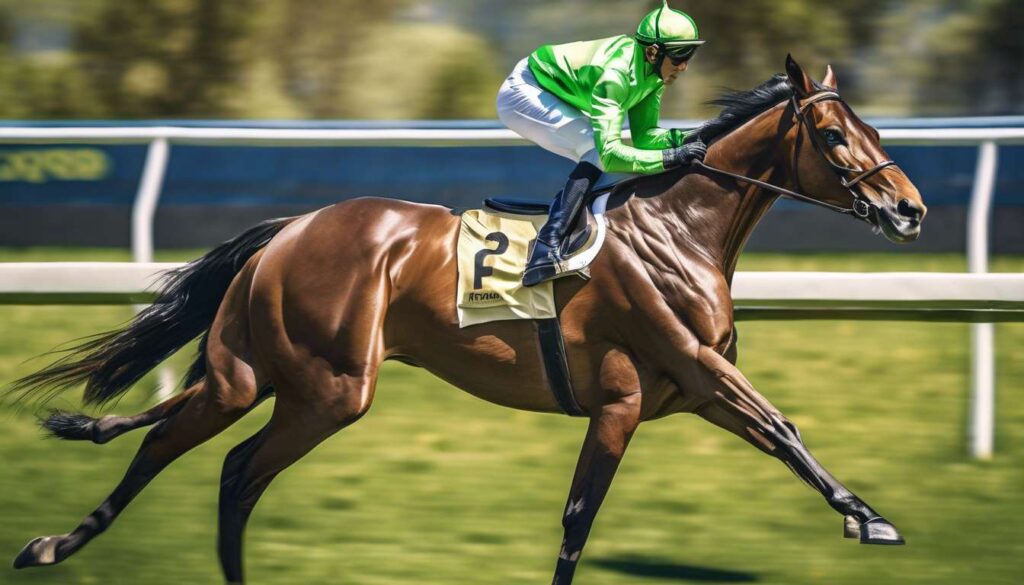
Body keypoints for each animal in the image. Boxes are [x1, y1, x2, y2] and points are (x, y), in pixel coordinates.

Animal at [9, 55, 926, 584]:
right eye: (834, 136)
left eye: (873, 125)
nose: (910, 210)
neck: (680, 228)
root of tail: (290, 229)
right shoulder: (644, 391)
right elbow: (588, 515)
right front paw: (870, 514)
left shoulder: (690, 386)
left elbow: (774, 433)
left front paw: (863, 512)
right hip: (319, 384)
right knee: (199, 454)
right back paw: (51, 544)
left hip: (268, 373)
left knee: (220, 464)